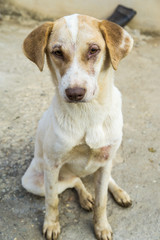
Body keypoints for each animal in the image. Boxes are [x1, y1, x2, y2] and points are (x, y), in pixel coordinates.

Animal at [21, 13, 133, 240]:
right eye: (57, 52)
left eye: (94, 50)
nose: (74, 93)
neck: (88, 114)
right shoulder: (52, 165)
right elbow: (52, 201)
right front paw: (51, 225)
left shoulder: (106, 158)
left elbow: (102, 201)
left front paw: (101, 226)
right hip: (34, 181)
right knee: (73, 181)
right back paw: (84, 196)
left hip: (105, 162)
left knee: (104, 179)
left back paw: (119, 193)